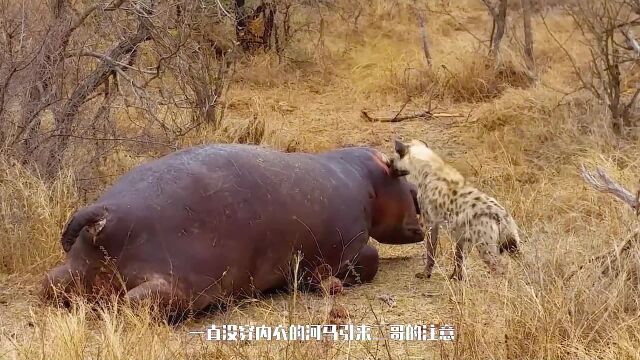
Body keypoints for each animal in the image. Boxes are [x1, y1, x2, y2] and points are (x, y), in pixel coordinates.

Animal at [45, 143, 424, 316]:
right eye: (410, 185)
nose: (422, 224)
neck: (366, 180)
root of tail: (106, 212)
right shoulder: (352, 247)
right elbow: (371, 258)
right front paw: (331, 285)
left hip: (73, 270)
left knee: (51, 284)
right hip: (177, 283)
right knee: (135, 304)